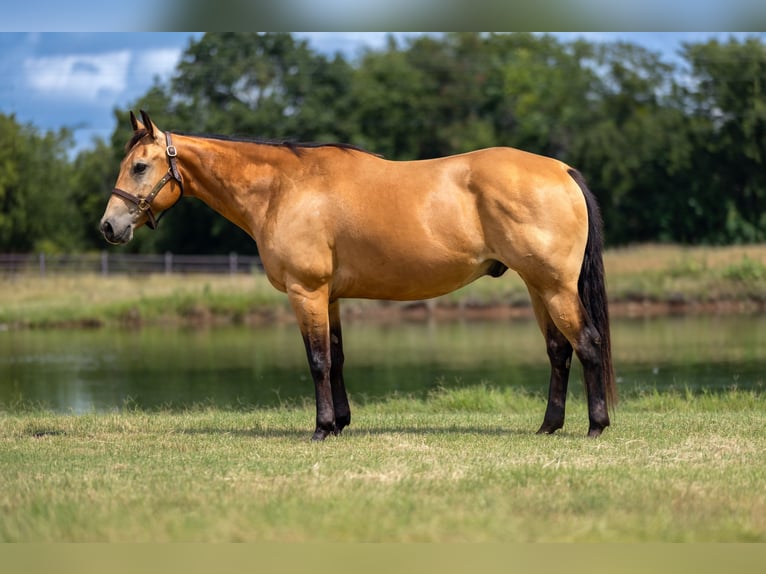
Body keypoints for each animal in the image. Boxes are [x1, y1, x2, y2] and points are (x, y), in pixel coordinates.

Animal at [100, 110, 616, 440]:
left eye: (140, 166)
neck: (283, 189)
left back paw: (596, 426)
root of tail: (562, 170)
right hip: (537, 286)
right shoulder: (328, 296)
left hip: (554, 287)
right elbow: (337, 358)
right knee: (558, 352)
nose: (109, 226)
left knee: (587, 344)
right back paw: (548, 426)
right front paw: (341, 423)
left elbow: (317, 360)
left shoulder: (305, 291)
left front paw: (322, 428)